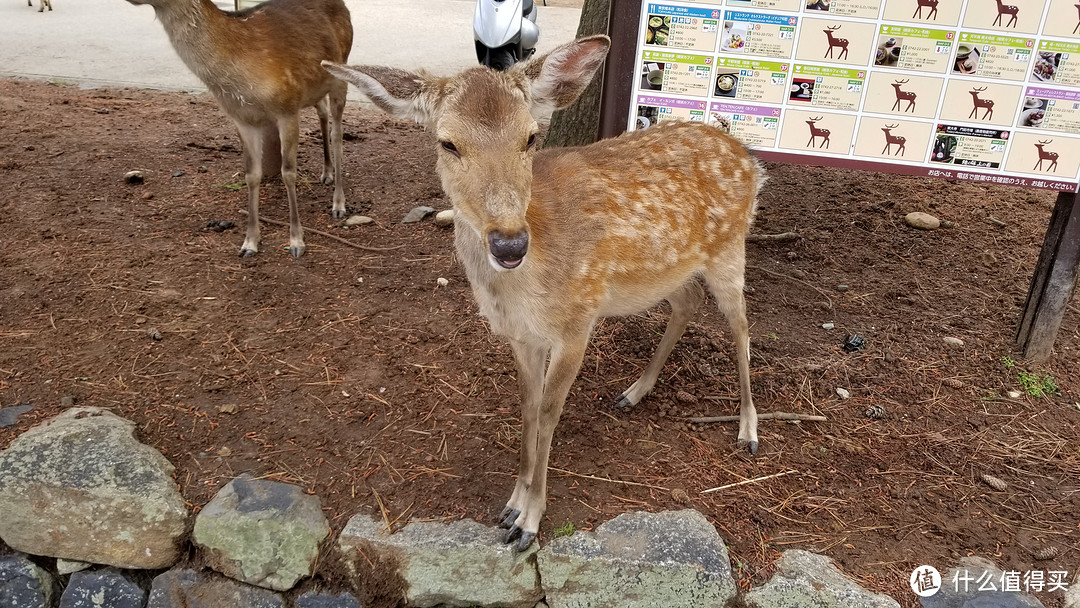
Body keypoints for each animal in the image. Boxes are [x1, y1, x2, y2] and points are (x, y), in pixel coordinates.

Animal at [126, 0, 352, 257]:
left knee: (338, 135)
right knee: (322, 112)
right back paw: (326, 172)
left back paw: (338, 204)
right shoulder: (243, 119)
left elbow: (288, 173)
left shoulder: (287, 107)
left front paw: (296, 241)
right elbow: (252, 175)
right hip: (315, 88)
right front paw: (249, 243)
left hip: (340, 74)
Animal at [317, 35, 760, 552]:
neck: (524, 289)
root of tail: (749, 157)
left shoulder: (578, 320)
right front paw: (512, 502)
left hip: (730, 249)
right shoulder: (521, 335)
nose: (509, 243)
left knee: (742, 324)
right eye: (447, 142)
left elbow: (549, 412)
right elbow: (527, 408)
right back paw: (634, 392)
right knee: (689, 302)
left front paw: (529, 522)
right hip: (668, 272)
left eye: (531, 137)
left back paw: (748, 428)